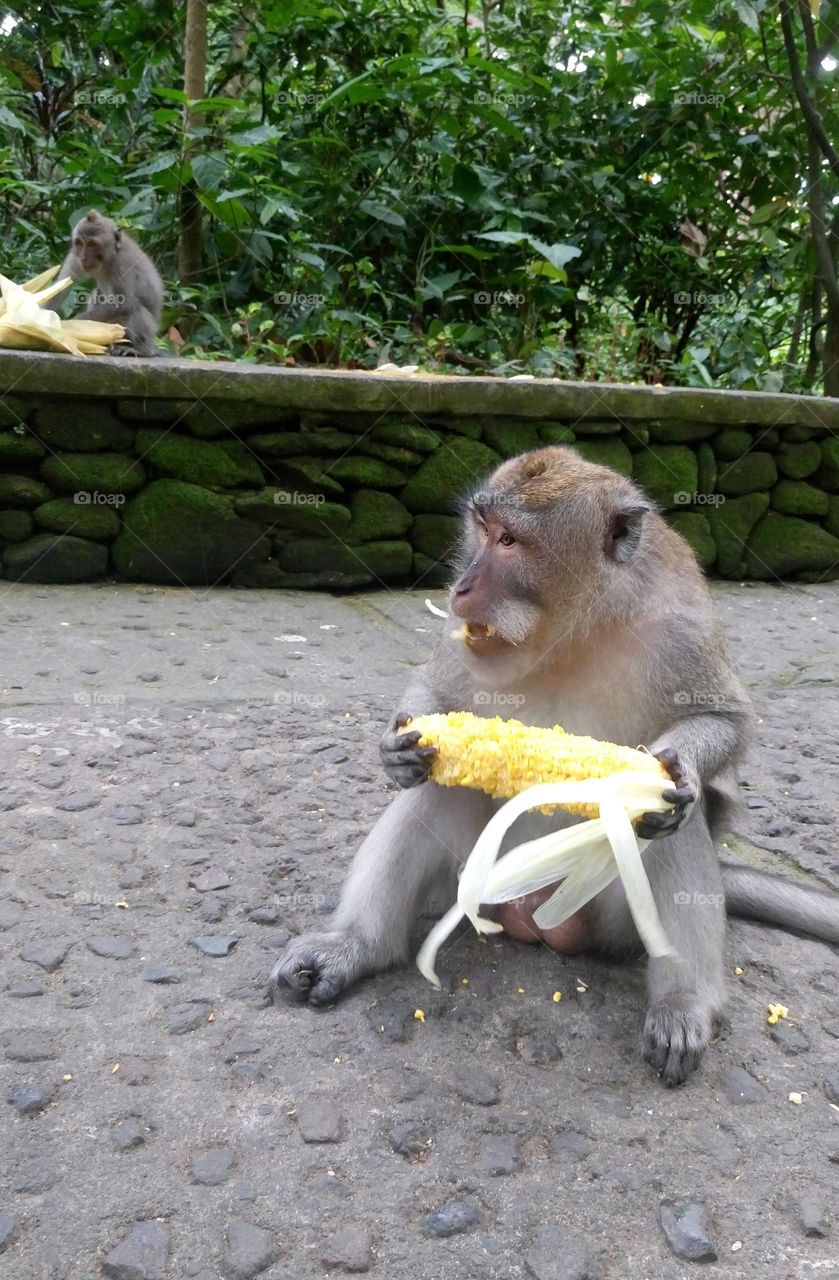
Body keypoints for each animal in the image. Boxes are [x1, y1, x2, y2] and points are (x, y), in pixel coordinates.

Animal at [57, 209, 163, 356]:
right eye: (79, 243)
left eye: (92, 244)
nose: (84, 257)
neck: (108, 259)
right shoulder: (75, 255)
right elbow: (60, 289)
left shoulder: (121, 263)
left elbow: (124, 301)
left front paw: (72, 323)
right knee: (97, 293)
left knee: (136, 308)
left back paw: (138, 350)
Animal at [272, 446, 839, 1085]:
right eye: (482, 531)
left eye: (510, 541)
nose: (460, 587)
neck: (575, 632)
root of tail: (533, 917)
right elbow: (437, 693)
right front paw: (397, 750)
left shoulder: (684, 629)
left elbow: (724, 721)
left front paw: (687, 771)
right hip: (477, 882)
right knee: (441, 789)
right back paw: (356, 946)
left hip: (616, 922)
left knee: (671, 826)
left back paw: (682, 1001)